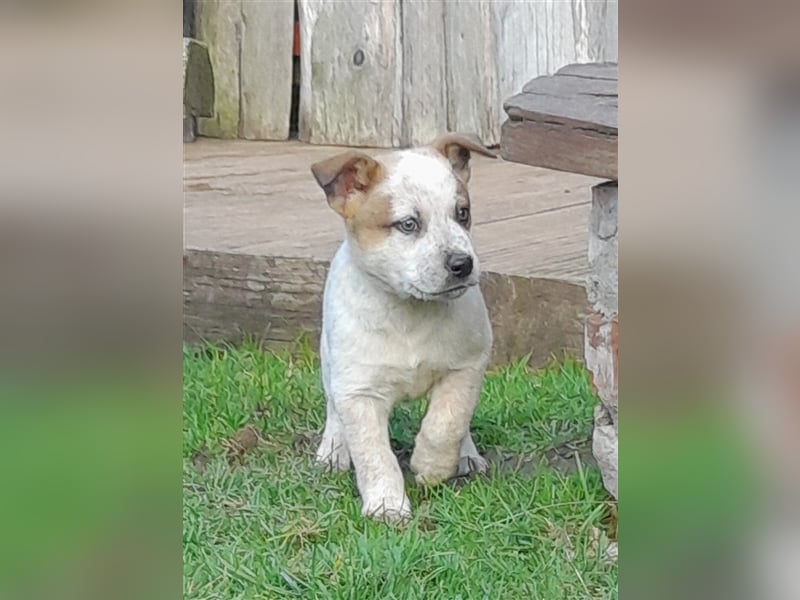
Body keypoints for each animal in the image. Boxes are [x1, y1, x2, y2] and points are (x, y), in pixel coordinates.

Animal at [310, 132, 494, 520]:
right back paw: (332, 451)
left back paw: (467, 456)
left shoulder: (467, 365)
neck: (409, 313)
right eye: (408, 224)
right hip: (329, 360)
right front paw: (386, 506)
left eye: (463, 213)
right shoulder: (358, 392)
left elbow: (447, 421)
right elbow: (374, 455)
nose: (463, 264)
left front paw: (432, 466)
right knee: (333, 407)